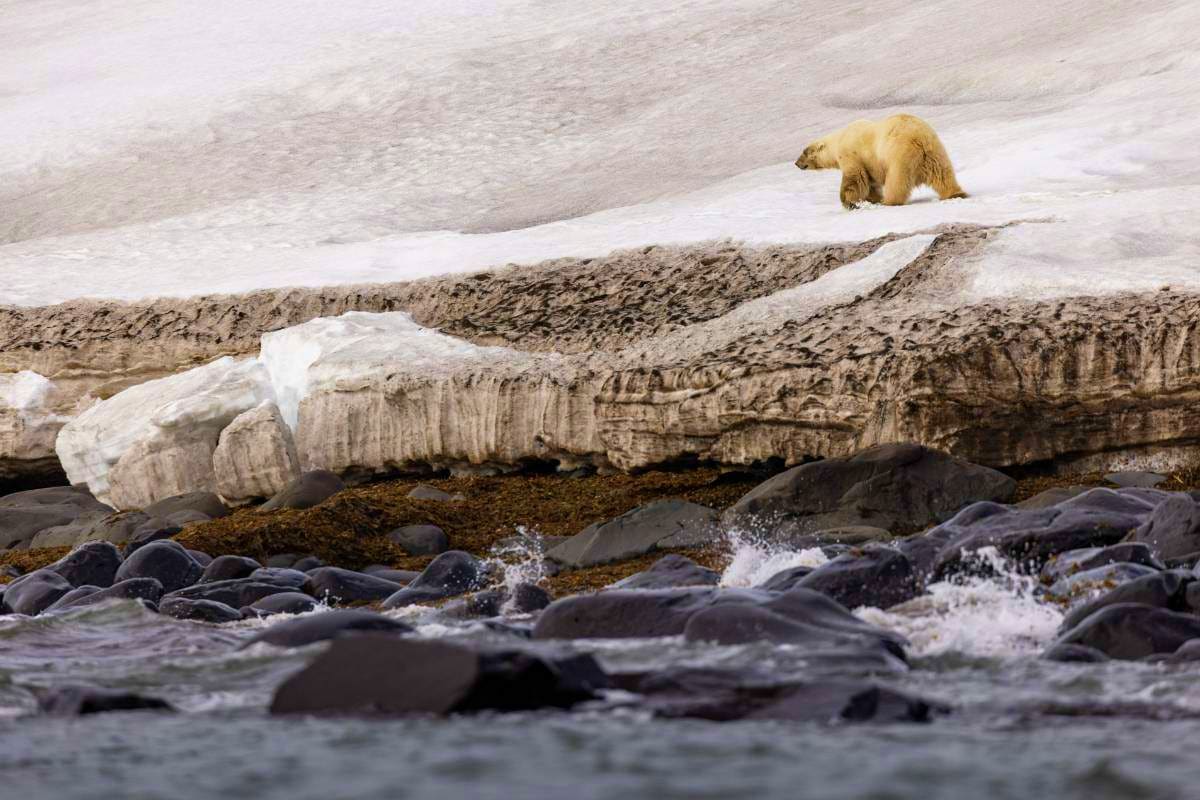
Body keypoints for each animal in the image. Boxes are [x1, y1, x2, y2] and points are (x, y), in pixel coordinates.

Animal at [795, 114, 967, 210]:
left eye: (804, 152)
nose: (796, 163)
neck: (839, 140)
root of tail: (919, 138)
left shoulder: (852, 155)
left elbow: (854, 178)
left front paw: (849, 202)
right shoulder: (869, 164)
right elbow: (870, 184)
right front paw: (871, 199)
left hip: (898, 154)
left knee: (897, 180)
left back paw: (889, 201)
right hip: (934, 151)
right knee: (943, 174)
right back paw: (955, 193)